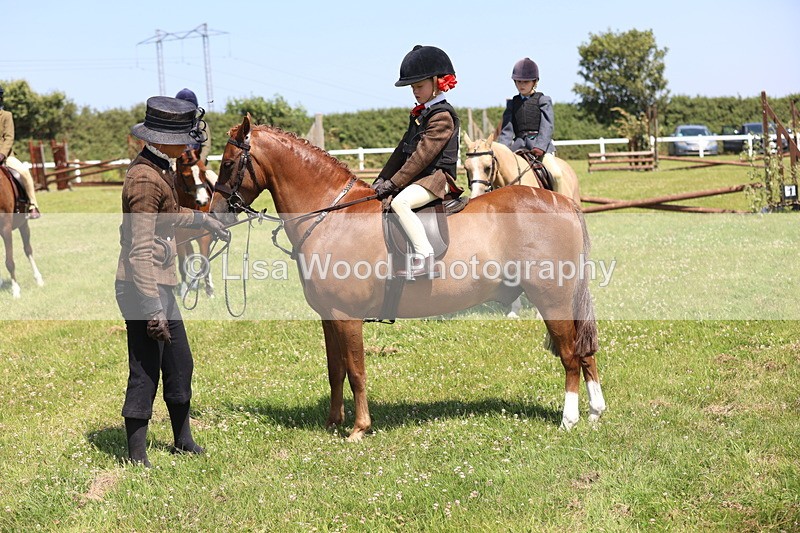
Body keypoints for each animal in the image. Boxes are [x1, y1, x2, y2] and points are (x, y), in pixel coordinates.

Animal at [0, 166, 44, 298]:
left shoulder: (5, 227)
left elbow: (9, 262)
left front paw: (15, 290)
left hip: (24, 225)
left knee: (28, 249)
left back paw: (39, 279)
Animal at [175, 148, 218, 298]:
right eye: (187, 176)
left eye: (203, 172)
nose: (203, 200)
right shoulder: (180, 237)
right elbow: (183, 263)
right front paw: (183, 291)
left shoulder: (205, 236)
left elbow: (205, 261)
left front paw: (210, 291)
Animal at [209, 115, 606, 441]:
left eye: (227, 163)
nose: (215, 216)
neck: (332, 216)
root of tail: (562, 203)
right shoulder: (328, 317)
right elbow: (335, 370)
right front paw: (333, 422)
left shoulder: (347, 317)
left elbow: (356, 370)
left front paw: (359, 428)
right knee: (584, 352)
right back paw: (595, 412)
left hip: (552, 300)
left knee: (570, 355)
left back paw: (569, 419)